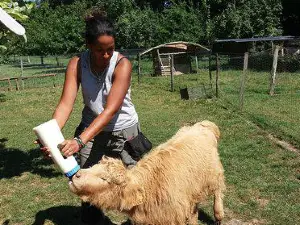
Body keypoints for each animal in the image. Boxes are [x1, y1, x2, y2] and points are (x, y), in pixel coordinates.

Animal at [69, 121, 225, 225]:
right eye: (93, 167)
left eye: (104, 178)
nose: (76, 175)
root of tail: (203, 125)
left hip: (214, 175)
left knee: (218, 191)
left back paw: (218, 215)